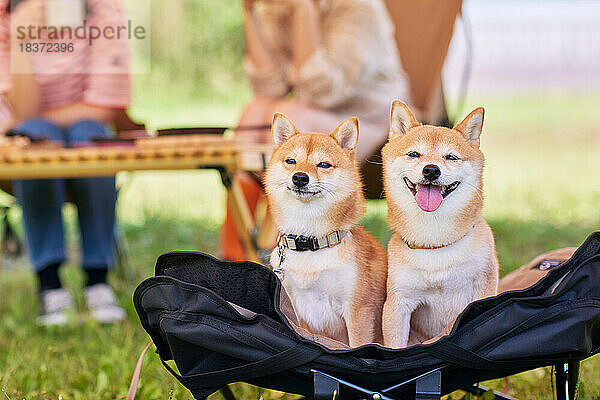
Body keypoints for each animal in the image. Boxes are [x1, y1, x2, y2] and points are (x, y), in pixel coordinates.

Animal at [264, 112, 386, 346]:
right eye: (291, 161)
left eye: (324, 164)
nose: (300, 177)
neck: (310, 241)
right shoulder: (292, 309)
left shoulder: (358, 310)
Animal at [382, 101, 500, 348]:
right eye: (414, 154)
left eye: (451, 157)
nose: (431, 170)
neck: (435, 244)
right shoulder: (398, 303)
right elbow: (395, 345)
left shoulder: (482, 290)